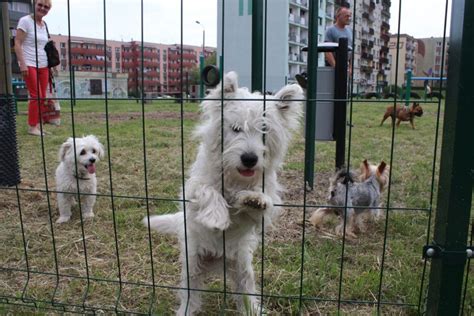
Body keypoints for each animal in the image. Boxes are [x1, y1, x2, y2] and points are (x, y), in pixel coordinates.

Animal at [143, 71, 302, 314]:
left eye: (264, 132)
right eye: (236, 129)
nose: (249, 158)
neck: (235, 177)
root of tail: (217, 261)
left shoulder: (263, 206)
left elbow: (259, 202)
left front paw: (253, 199)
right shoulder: (193, 189)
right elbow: (209, 192)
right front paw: (217, 217)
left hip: (242, 267)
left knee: (245, 293)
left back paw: (252, 310)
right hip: (193, 265)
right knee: (190, 294)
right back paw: (186, 310)